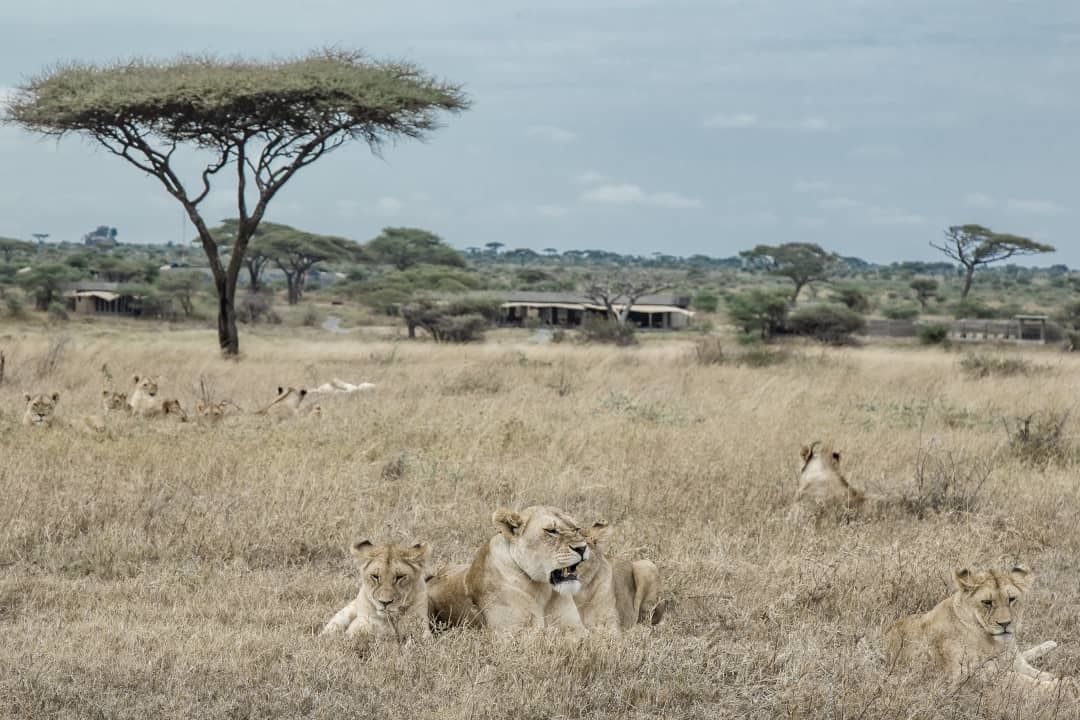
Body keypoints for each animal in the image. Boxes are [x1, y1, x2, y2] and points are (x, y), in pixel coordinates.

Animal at [423, 507, 591, 630]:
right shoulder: (511, 636)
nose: (582, 548)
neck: (543, 589)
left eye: (576, 528)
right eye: (551, 530)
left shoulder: (575, 628)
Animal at [885, 565, 1062, 690]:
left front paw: (1057, 679)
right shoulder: (968, 674)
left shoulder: (1014, 662)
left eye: (1011, 599)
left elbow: (1038, 674)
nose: (1005, 624)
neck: (995, 643)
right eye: (987, 602)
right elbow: (1022, 681)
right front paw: (1062, 686)